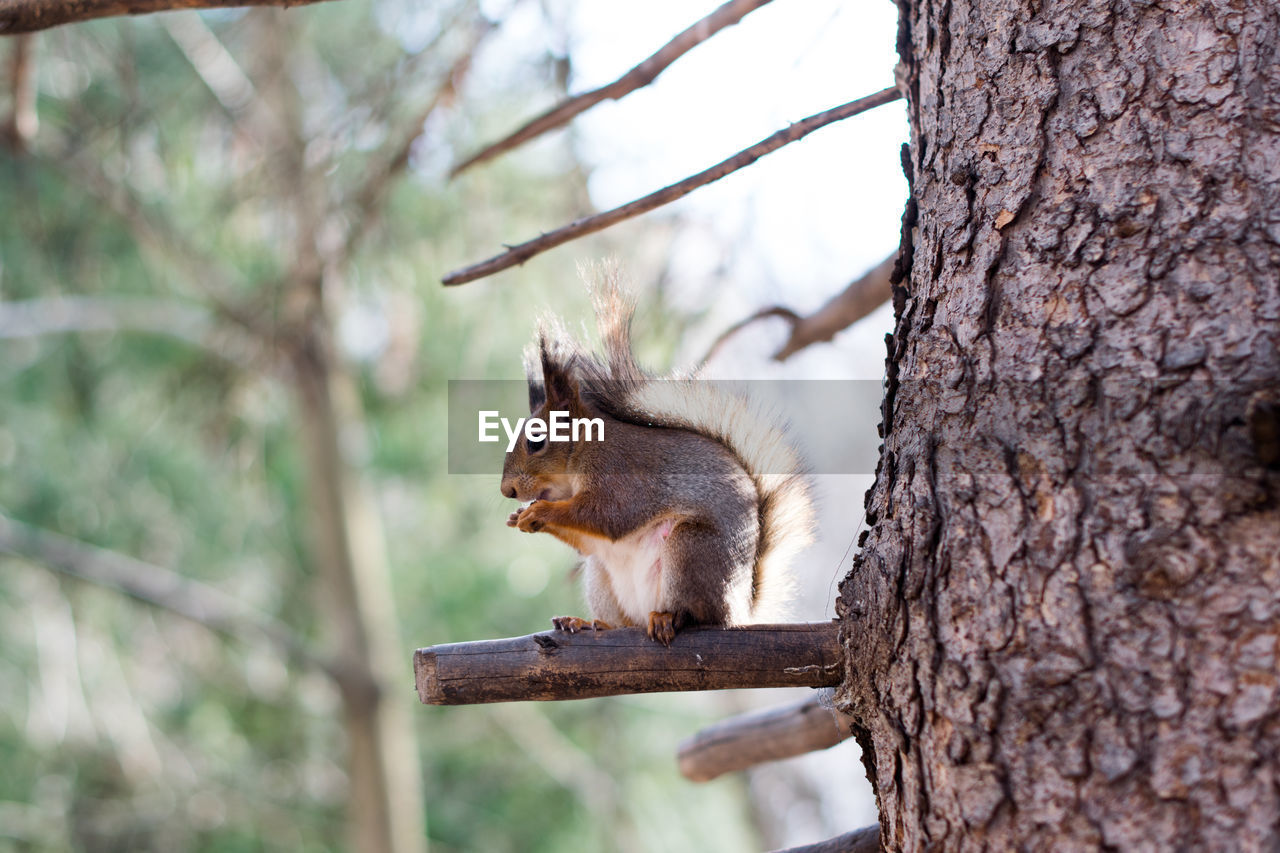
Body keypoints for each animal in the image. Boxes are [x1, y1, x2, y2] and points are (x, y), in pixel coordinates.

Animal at [499, 272, 808, 645]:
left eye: (536, 441)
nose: (507, 491)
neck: (583, 449)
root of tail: (739, 610)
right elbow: (588, 541)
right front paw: (520, 517)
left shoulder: (619, 471)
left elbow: (608, 516)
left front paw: (539, 512)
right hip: (602, 575)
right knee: (623, 618)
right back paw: (589, 623)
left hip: (690, 549)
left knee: (699, 614)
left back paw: (669, 617)